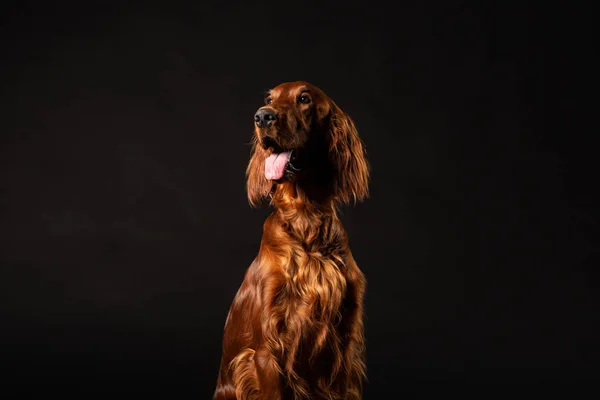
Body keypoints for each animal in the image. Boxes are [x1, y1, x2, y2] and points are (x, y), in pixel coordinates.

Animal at [213, 82, 368, 400]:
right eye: (269, 99)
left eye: (304, 99)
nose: (262, 116)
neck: (306, 219)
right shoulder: (266, 351)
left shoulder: (345, 346)